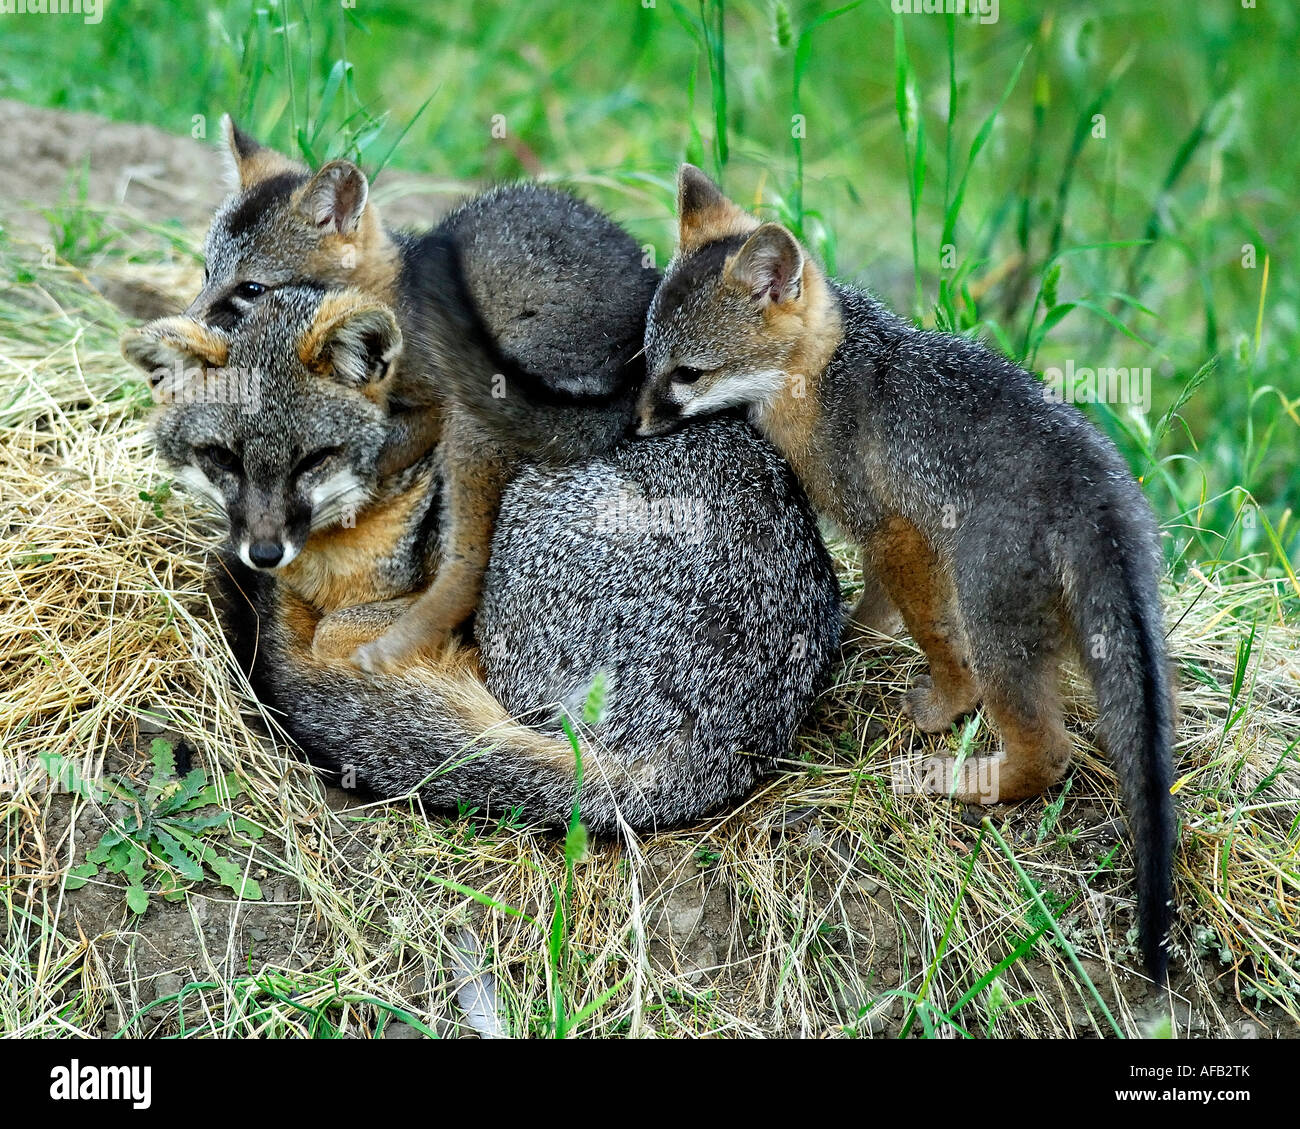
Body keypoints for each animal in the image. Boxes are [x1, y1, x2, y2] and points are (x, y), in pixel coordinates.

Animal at [182, 117, 660, 673]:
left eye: (252, 289)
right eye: (207, 273)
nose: (184, 324)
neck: (393, 295)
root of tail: (638, 369)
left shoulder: (432, 406)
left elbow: (379, 454)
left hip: (474, 424)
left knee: (467, 571)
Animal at [635, 165, 1176, 980]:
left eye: (688, 374)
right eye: (648, 363)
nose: (633, 428)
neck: (826, 369)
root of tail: (1095, 488)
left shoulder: (891, 530)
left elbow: (926, 632)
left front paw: (942, 703)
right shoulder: (883, 536)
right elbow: (875, 609)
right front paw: (854, 642)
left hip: (993, 626)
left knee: (1046, 750)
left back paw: (965, 781)